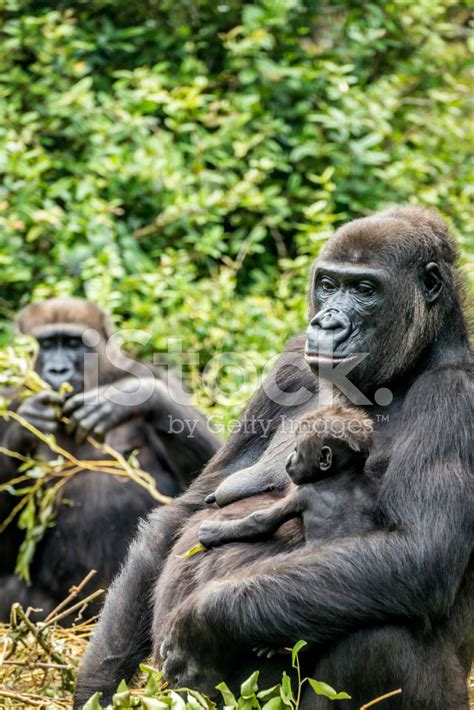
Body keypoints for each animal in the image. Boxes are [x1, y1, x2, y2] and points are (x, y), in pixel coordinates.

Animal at [0, 300, 218, 624]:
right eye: (47, 344)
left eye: (73, 343)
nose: (58, 370)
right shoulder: (8, 398)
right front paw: (25, 424)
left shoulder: (152, 373)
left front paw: (136, 397)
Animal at [198, 408, 376, 552]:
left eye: (297, 450)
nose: (289, 459)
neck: (339, 476)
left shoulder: (302, 493)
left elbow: (261, 522)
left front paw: (212, 532)